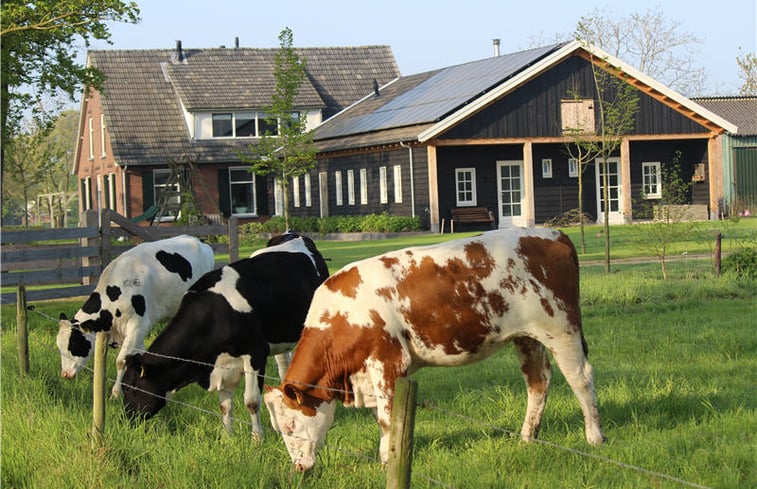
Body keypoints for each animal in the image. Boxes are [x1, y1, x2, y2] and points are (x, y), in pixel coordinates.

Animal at [56, 234, 213, 398]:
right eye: (59, 347)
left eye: (74, 344)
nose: (64, 374)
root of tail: (200, 242)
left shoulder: (138, 326)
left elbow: (121, 361)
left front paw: (115, 393)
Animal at [121, 233, 328, 438]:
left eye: (128, 387)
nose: (128, 420)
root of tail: (294, 234)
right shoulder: (221, 365)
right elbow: (225, 406)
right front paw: (228, 437)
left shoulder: (256, 353)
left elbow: (251, 402)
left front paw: (257, 438)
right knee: (284, 365)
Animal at [262, 227, 604, 470]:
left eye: (291, 424)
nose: (299, 467)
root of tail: (553, 234)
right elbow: (381, 418)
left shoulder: (389, 363)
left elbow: (387, 417)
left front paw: (388, 459)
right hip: (527, 337)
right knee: (538, 380)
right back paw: (527, 437)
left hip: (561, 329)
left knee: (581, 378)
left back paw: (595, 437)